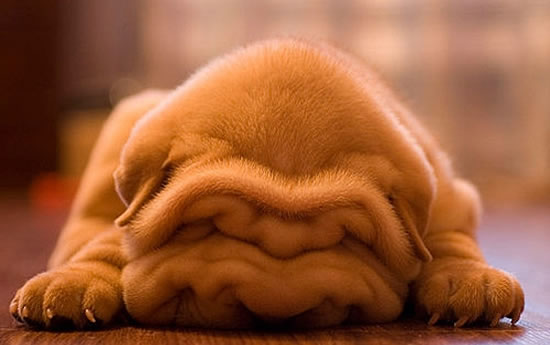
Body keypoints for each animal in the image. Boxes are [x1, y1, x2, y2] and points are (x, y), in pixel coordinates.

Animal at [9, 37, 528, 328]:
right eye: (208, 226)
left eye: (349, 238)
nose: (275, 305)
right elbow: (107, 243)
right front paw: (73, 282)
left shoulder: (448, 194)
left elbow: (448, 240)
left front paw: (470, 280)